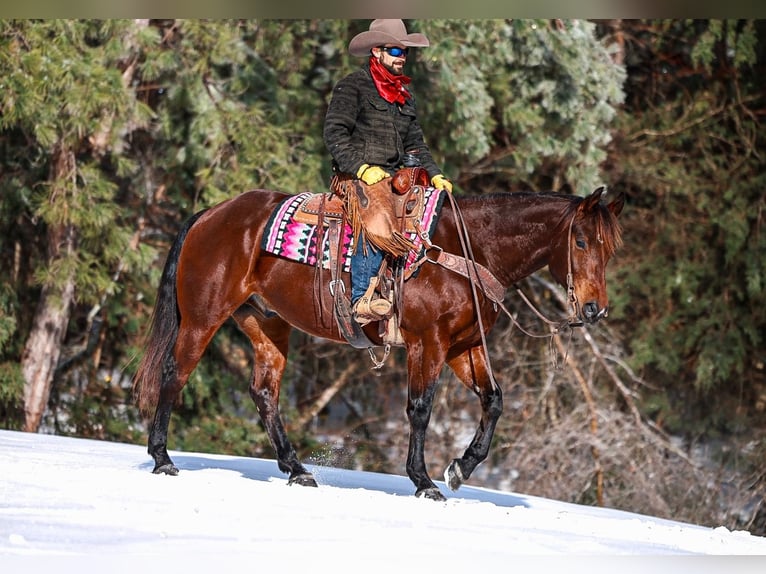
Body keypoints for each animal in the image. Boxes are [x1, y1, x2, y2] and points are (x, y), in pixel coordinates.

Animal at [133, 185, 624, 500]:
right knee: (174, 374)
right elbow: (421, 408)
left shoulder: (463, 347)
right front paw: (423, 482)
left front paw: (460, 469)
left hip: (267, 325)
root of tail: (210, 215)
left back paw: (297, 470)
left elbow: (494, 401)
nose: (594, 309)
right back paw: (162, 458)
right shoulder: (429, 343)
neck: (465, 251)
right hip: (203, 318)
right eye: (581, 241)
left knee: (264, 393)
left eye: (610, 249)